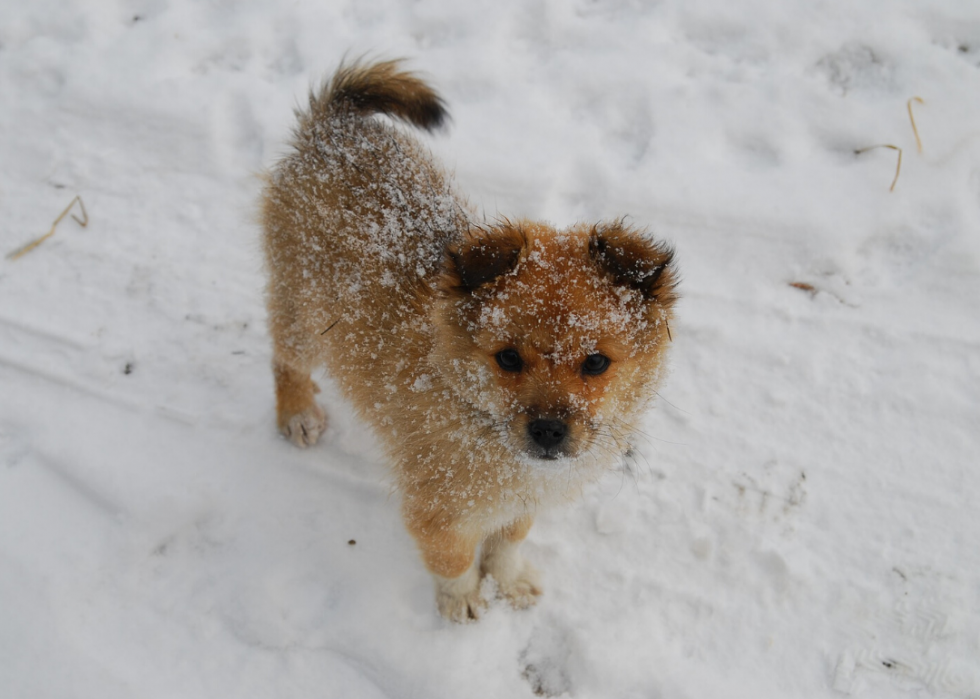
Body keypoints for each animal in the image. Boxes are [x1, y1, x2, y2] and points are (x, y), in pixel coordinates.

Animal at [258, 57, 672, 620]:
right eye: (508, 358)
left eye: (595, 363)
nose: (548, 432)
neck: (476, 413)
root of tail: (333, 128)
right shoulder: (437, 509)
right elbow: (452, 559)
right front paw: (464, 603)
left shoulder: (520, 503)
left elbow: (508, 541)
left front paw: (509, 581)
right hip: (302, 308)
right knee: (286, 360)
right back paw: (298, 413)